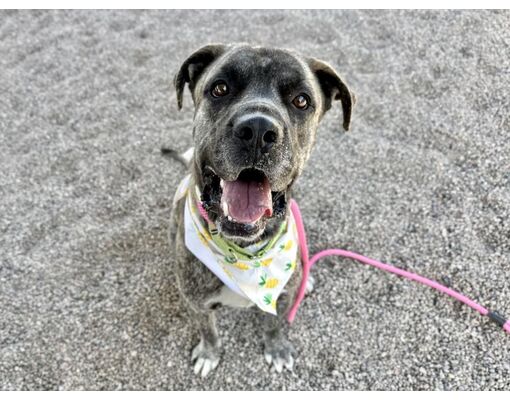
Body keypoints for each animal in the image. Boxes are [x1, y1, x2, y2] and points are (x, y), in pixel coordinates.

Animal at [165, 43, 352, 378]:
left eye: (301, 100)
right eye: (220, 88)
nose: (257, 129)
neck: (245, 256)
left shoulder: (282, 296)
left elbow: (275, 324)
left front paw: (276, 348)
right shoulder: (197, 303)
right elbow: (208, 329)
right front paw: (209, 353)